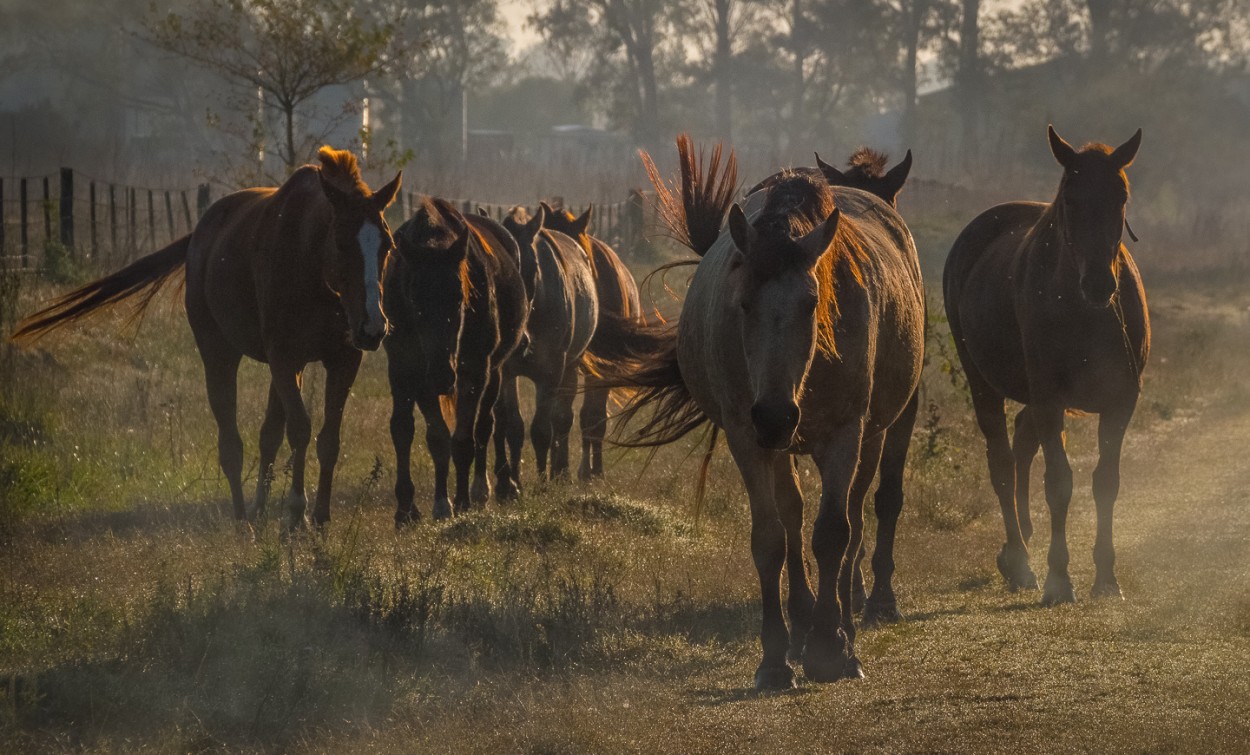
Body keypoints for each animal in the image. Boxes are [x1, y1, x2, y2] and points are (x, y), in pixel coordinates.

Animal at [387, 197, 530, 522]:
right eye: (414, 298)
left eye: (458, 296)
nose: (442, 375)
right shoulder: (413, 373)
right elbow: (433, 437)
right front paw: (433, 505)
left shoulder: (474, 372)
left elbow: (464, 439)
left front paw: (461, 501)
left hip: (494, 372)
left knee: (486, 425)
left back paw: (484, 489)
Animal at [495, 206, 597, 490]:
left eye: (532, 270)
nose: (519, 342)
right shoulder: (506, 373)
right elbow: (511, 426)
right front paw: (510, 485)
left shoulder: (550, 373)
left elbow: (542, 428)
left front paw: (542, 482)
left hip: (570, 367)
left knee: (561, 420)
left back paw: (559, 472)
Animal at [600, 138, 925, 695]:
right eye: (744, 302)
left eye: (812, 302)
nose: (774, 415)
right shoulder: (746, 435)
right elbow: (771, 537)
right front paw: (776, 658)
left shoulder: (848, 433)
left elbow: (834, 532)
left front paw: (830, 647)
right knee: (794, 516)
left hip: (866, 434)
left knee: (851, 519)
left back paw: (840, 624)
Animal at [940, 125, 1145, 607]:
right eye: (1070, 198)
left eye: (1121, 195)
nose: (1098, 284)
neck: (1086, 313)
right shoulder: (1051, 399)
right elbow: (1059, 483)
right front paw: (1058, 579)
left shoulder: (1121, 401)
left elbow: (1106, 481)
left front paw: (1106, 577)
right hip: (984, 383)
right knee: (1001, 460)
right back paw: (1019, 560)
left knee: (1021, 442)